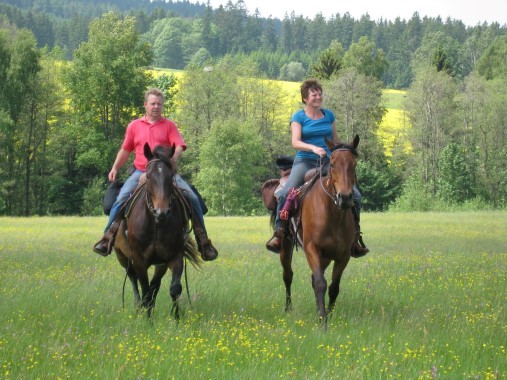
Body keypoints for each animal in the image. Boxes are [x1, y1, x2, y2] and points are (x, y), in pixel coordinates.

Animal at [114, 144, 201, 320]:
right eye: (148, 177)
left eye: (171, 176)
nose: (161, 211)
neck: (156, 224)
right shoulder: (138, 260)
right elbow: (145, 290)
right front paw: (148, 321)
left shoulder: (173, 257)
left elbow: (174, 288)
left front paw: (176, 319)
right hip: (123, 257)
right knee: (133, 280)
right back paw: (139, 308)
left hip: (159, 264)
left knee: (155, 284)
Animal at [280, 134, 360, 324]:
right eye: (332, 164)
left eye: (354, 164)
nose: (345, 198)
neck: (332, 215)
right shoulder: (311, 248)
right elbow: (320, 283)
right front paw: (323, 321)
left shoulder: (343, 254)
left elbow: (333, 287)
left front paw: (327, 315)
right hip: (285, 246)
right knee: (288, 275)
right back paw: (288, 308)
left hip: (326, 257)